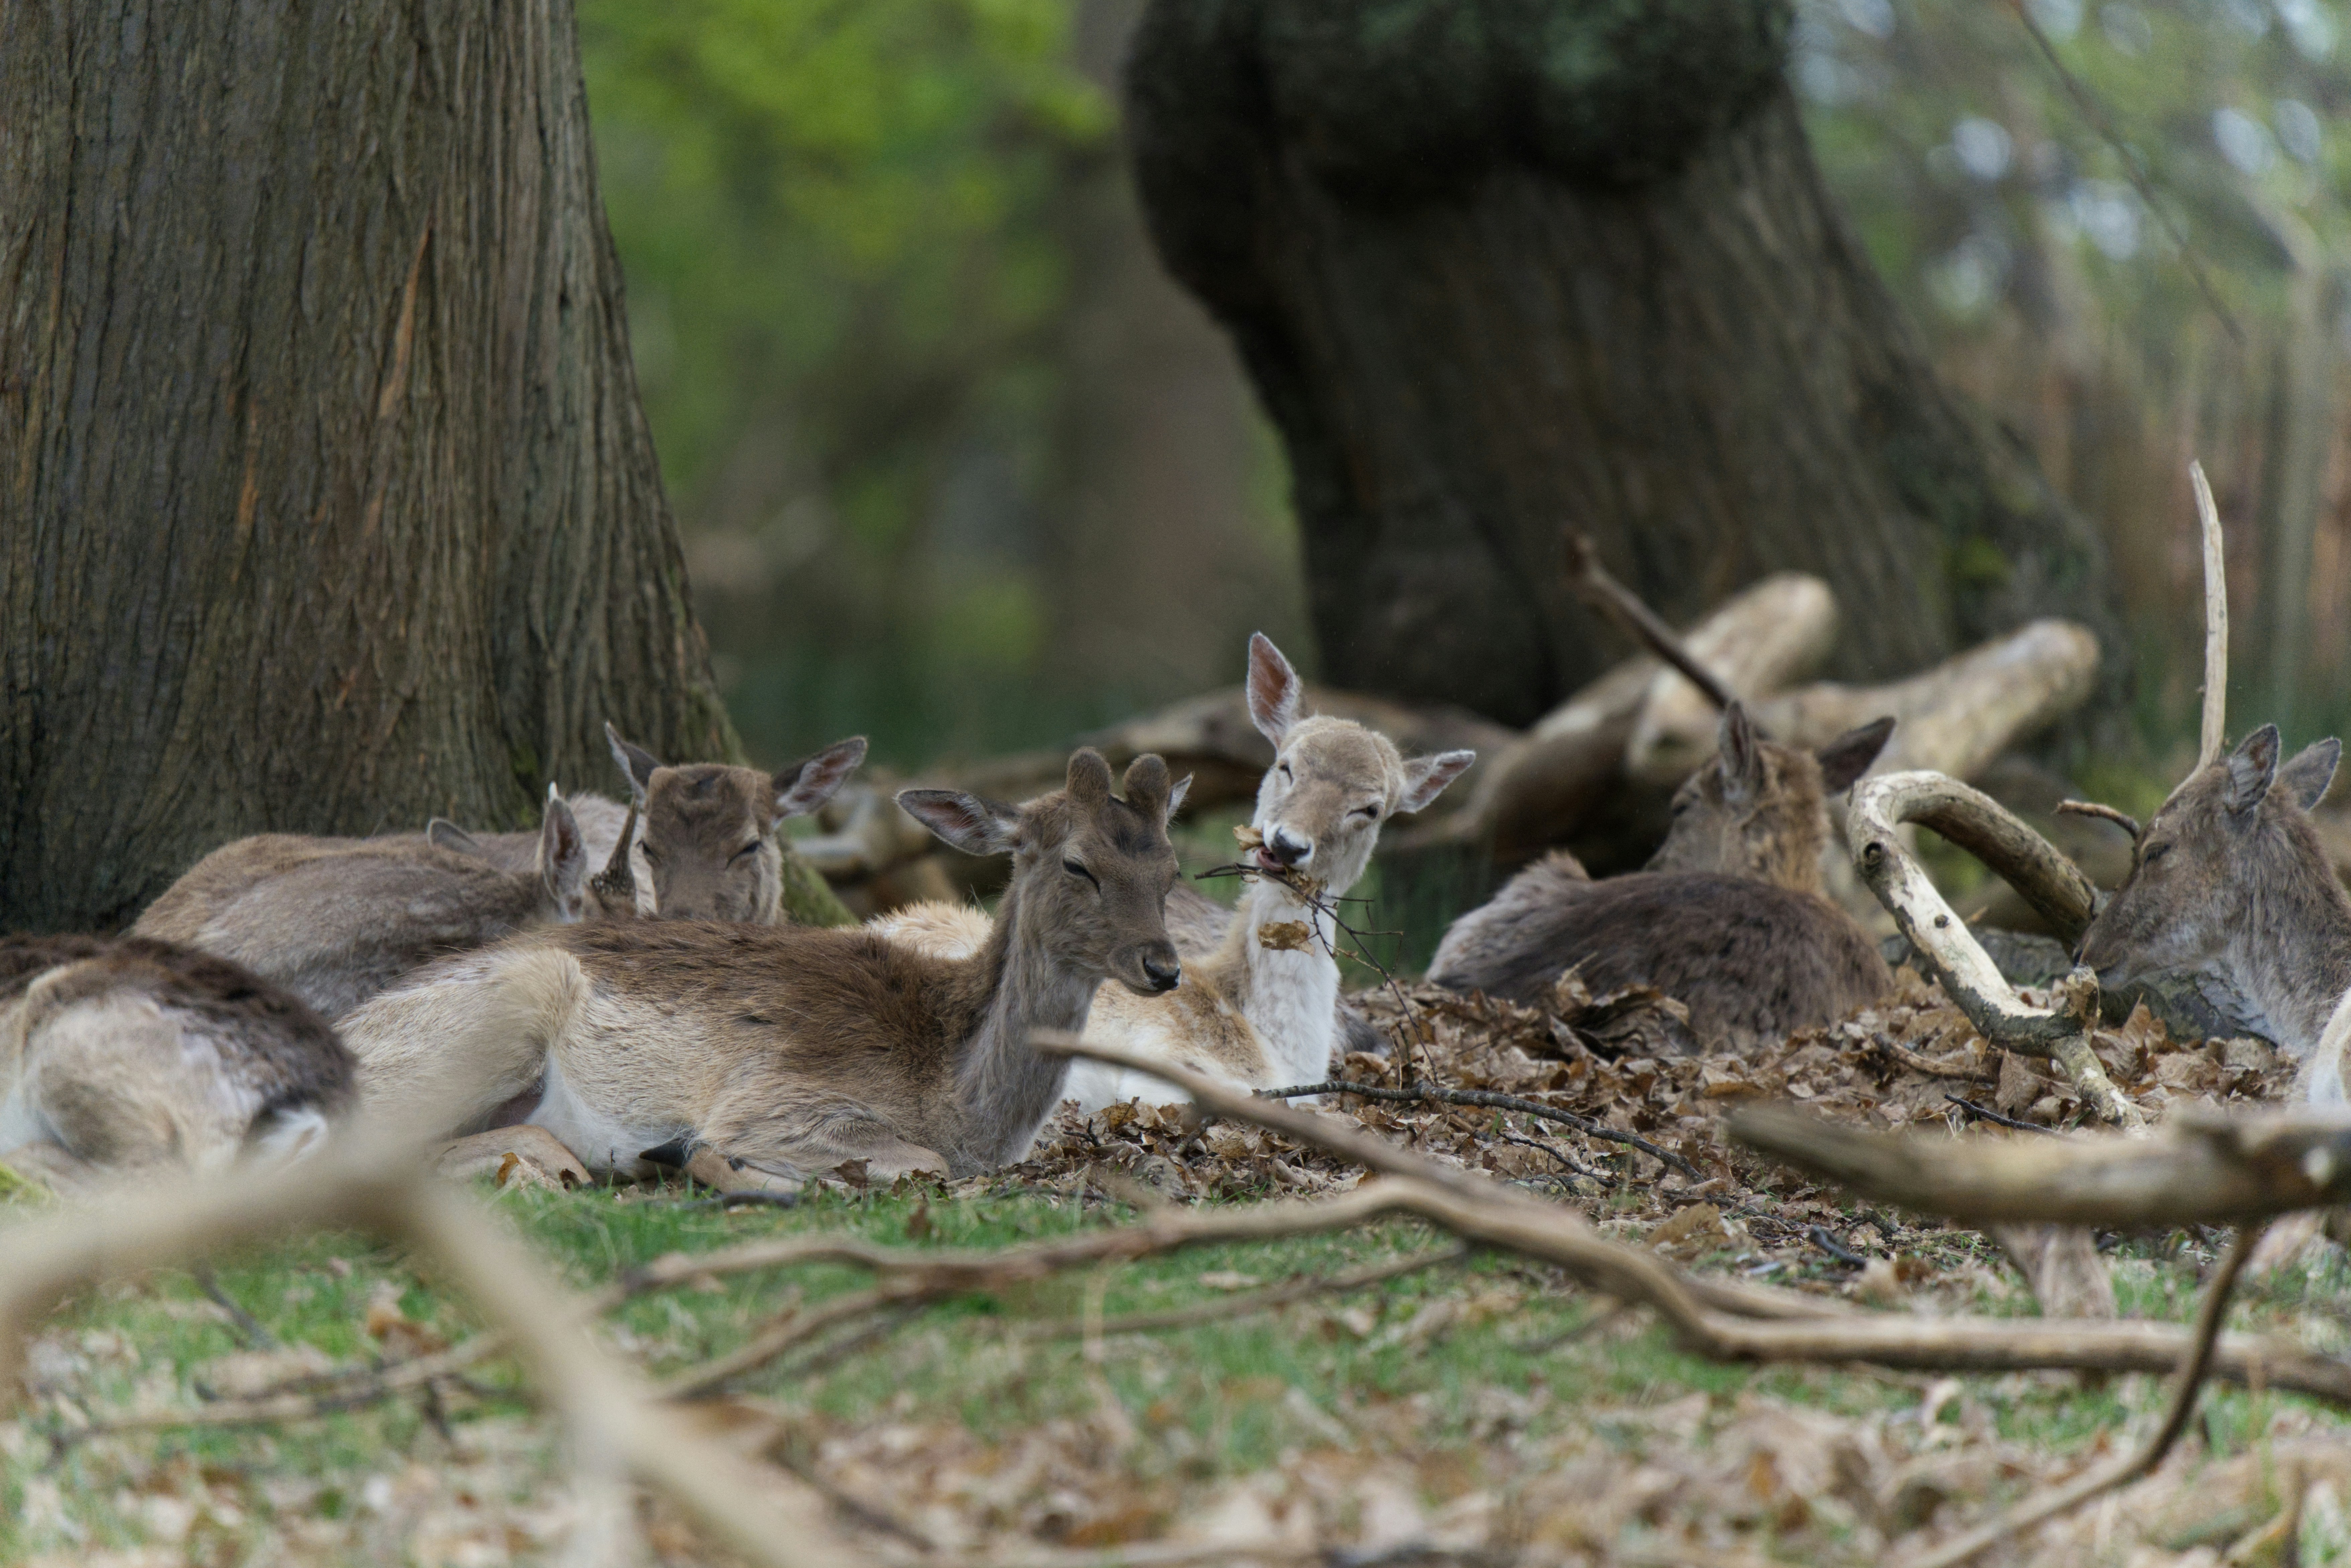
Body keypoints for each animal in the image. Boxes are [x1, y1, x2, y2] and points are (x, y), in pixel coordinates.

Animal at [335, 749, 1186, 1181]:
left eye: (1171, 869)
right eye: (1077, 864)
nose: (1164, 965)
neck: (961, 1099)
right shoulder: (782, 1096)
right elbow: (919, 1161)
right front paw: (712, 1158)